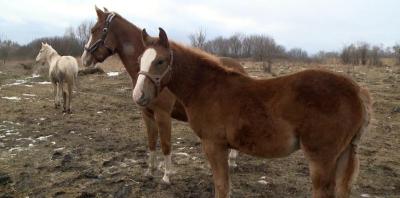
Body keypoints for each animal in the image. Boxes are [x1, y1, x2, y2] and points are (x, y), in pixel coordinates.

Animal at [80, 7, 244, 184]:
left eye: (94, 30)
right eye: (140, 59)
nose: (84, 59)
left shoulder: (162, 114)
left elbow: (165, 144)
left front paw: (167, 175)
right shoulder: (146, 113)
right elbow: (152, 142)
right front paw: (150, 171)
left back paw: (232, 161)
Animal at [134, 28, 372, 198]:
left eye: (160, 61)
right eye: (139, 61)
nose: (138, 96)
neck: (206, 88)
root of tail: (357, 91)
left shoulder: (214, 144)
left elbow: (222, 187)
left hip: (321, 157)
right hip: (344, 153)